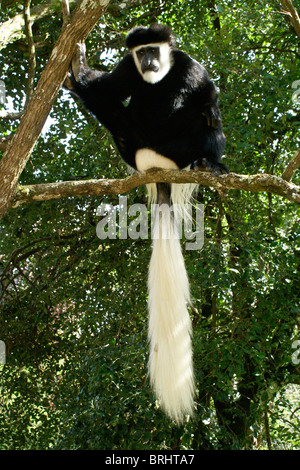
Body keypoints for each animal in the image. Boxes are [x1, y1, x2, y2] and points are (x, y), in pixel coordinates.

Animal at [65, 23, 229, 424]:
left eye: (154, 50)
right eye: (141, 54)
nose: (150, 63)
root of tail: (157, 166)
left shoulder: (189, 67)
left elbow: (207, 93)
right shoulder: (128, 69)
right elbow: (108, 89)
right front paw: (79, 65)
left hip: (179, 149)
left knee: (207, 123)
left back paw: (209, 163)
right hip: (138, 146)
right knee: (113, 110)